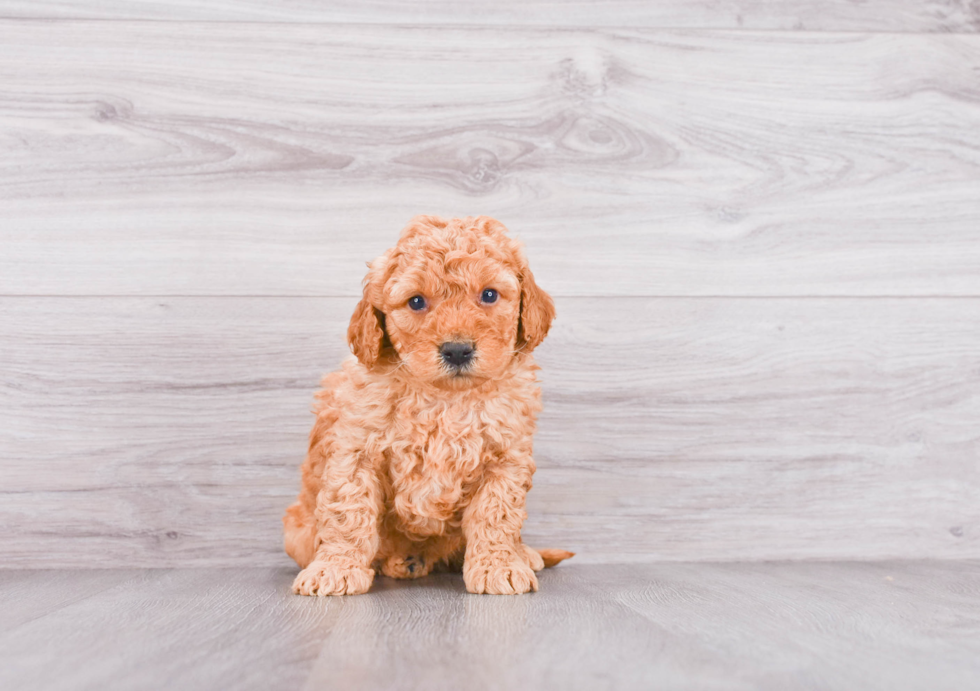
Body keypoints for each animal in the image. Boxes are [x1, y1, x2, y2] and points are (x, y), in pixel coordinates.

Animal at [282, 216, 576, 596]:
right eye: (417, 301)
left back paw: (521, 553)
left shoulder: (506, 456)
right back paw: (403, 561)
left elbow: (496, 514)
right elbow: (349, 512)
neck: (445, 398)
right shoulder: (355, 452)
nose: (457, 350)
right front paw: (336, 568)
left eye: (489, 295)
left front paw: (498, 565)